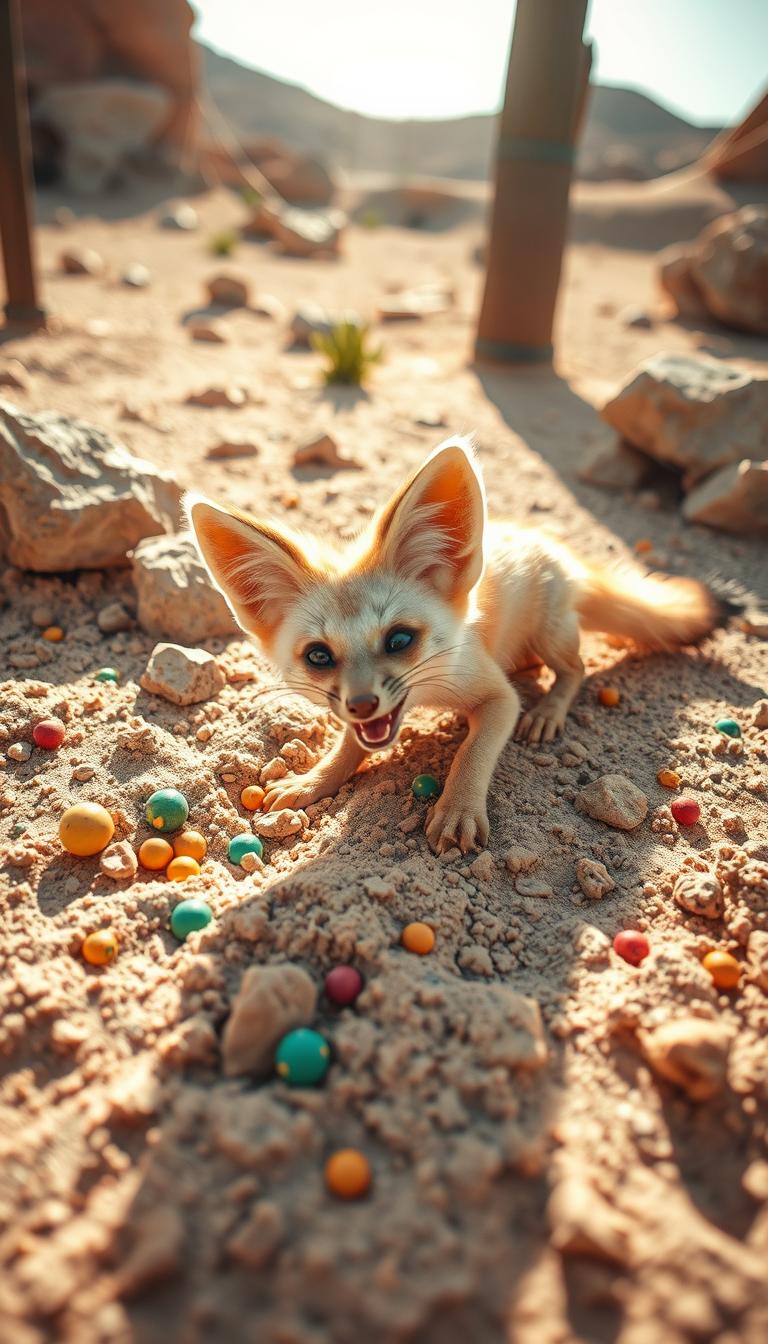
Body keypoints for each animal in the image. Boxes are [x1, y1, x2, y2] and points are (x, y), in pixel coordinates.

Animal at [187, 436, 725, 855]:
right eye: (318, 656)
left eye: (399, 639)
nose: (361, 704)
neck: (428, 697)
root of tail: (553, 547)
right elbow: (347, 748)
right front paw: (314, 780)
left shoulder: (496, 696)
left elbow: (472, 753)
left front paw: (458, 809)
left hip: (551, 633)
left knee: (575, 669)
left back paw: (549, 710)